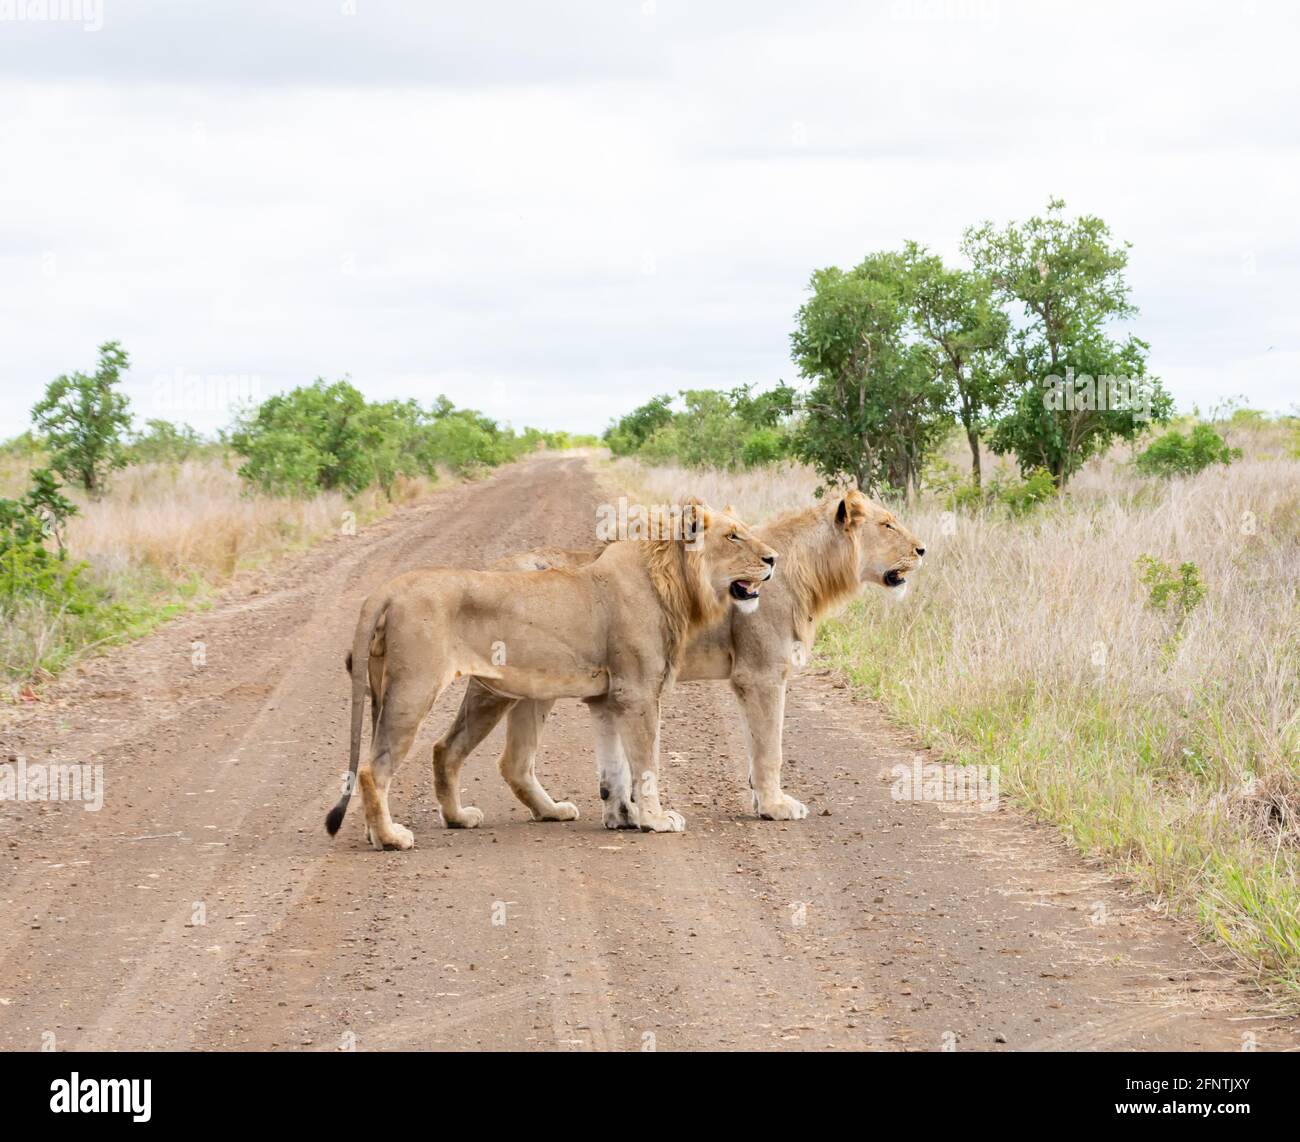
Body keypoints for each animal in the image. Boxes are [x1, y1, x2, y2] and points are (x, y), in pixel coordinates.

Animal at [322, 499, 780, 848]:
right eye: (733, 536)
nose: (773, 559)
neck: (672, 579)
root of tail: (387, 589)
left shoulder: (610, 695)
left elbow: (618, 767)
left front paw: (627, 816)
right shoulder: (637, 692)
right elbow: (645, 764)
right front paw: (656, 819)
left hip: (492, 691)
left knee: (460, 752)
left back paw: (464, 818)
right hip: (415, 688)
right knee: (374, 768)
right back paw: (390, 838)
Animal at [434, 486, 925, 827]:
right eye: (887, 524)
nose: (922, 549)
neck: (807, 570)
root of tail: (487, 570)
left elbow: (754, 748)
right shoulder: (761, 674)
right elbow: (770, 747)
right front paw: (775, 806)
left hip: (536, 688)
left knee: (513, 762)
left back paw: (551, 811)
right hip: (501, 688)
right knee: (457, 749)